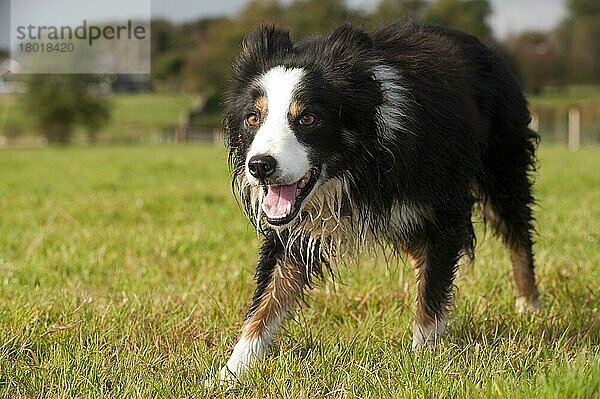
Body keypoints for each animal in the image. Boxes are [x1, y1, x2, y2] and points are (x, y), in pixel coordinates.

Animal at [219, 22, 540, 384]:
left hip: (502, 161)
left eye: (308, 119)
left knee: (516, 231)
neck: (356, 165)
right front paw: (229, 373)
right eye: (253, 118)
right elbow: (268, 295)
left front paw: (423, 361)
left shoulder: (444, 207)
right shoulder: (293, 227)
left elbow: (433, 288)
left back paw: (530, 307)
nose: (260, 166)